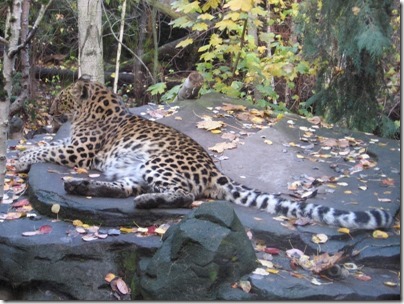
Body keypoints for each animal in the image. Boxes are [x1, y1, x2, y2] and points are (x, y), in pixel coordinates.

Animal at [14, 75, 392, 229]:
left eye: (60, 99)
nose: (47, 111)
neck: (96, 108)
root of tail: (215, 172)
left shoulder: (79, 150)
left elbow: (45, 147)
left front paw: (19, 159)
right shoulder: (75, 147)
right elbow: (46, 144)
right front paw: (22, 155)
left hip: (157, 162)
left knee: (183, 195)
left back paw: (145, 201)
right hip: (133, 171)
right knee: (126, 189)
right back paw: (83, 187)